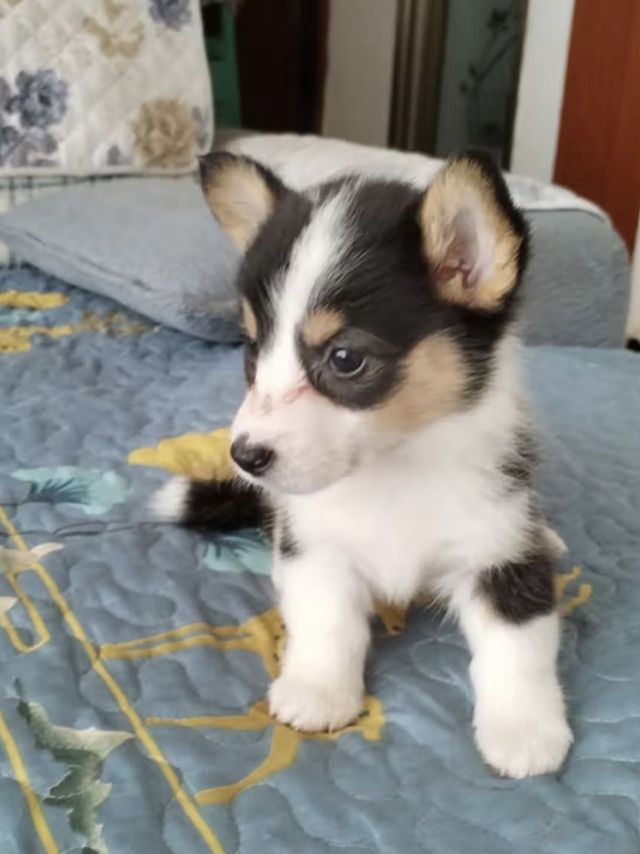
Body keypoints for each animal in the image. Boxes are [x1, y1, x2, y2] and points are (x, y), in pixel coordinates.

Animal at [156, 150, 576, 780]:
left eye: (345, 359)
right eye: (253, 351)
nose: (245, 457)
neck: (395, 466)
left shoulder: (499, 553)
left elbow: (518, 647)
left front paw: (524, 730)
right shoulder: (316, 547)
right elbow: (329, 623)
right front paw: (318, 690)